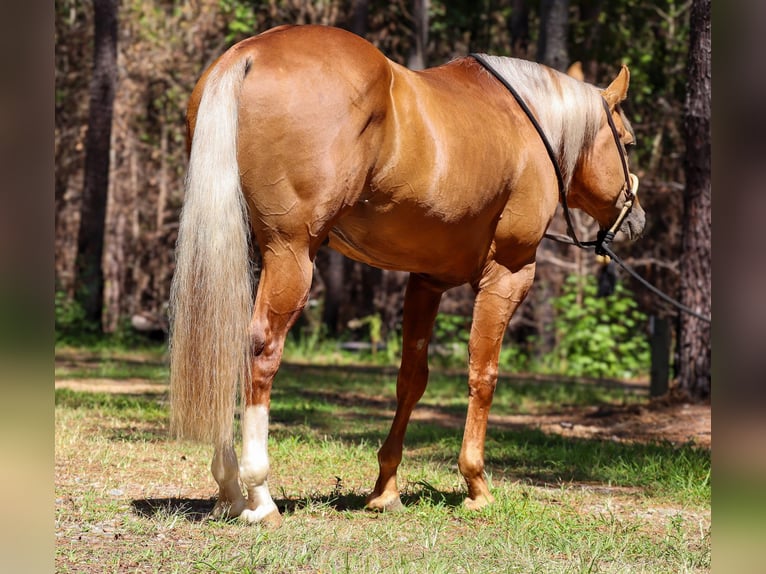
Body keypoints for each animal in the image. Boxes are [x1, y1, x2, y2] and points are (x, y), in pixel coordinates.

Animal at [169, 24, 645, 526]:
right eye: (628, 142)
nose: (636, 218)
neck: (529, 126)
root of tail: (249, 54)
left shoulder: (425, 281)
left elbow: (411, 379)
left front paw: (385, 488)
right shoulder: (509, 274)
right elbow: (484, 373)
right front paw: (476, 483)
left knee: (223, 347)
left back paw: (229, 489)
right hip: (291, 255)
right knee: (260, 350)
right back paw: (259, 496)